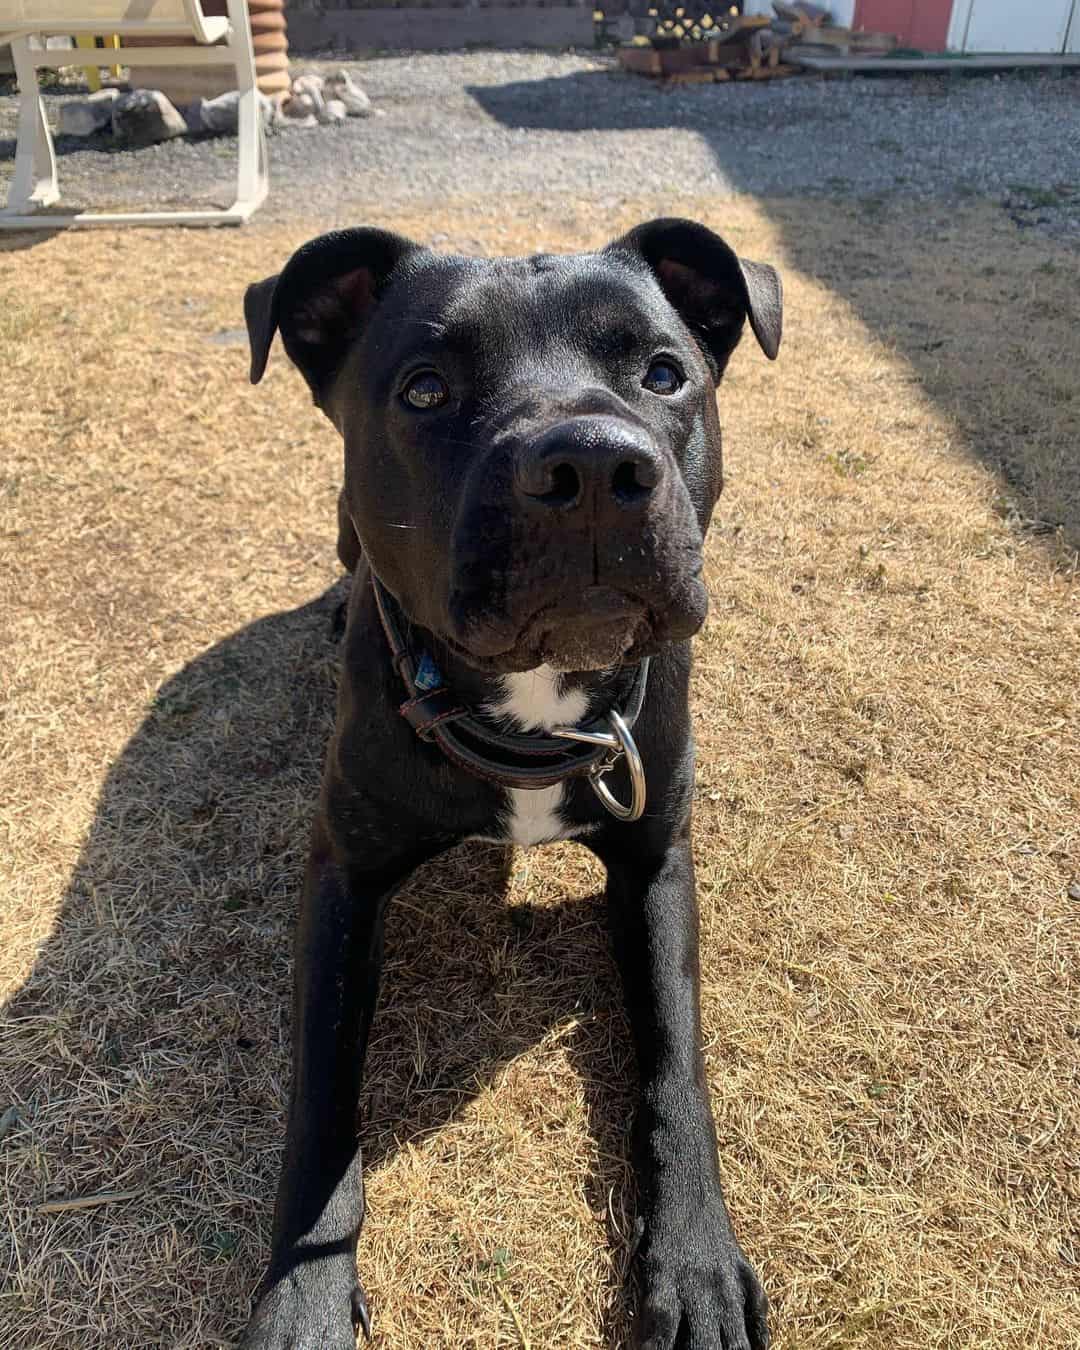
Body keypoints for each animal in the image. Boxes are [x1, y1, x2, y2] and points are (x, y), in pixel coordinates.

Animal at [240, 216, 783, 1344]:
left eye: (663, 373)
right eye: (425, 389)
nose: (591, 464)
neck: (534, 714)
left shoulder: (657, 860)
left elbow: (677, 1060)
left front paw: (695, 1261)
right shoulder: (341, 876)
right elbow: (321, 1101)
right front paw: (300, 1297)